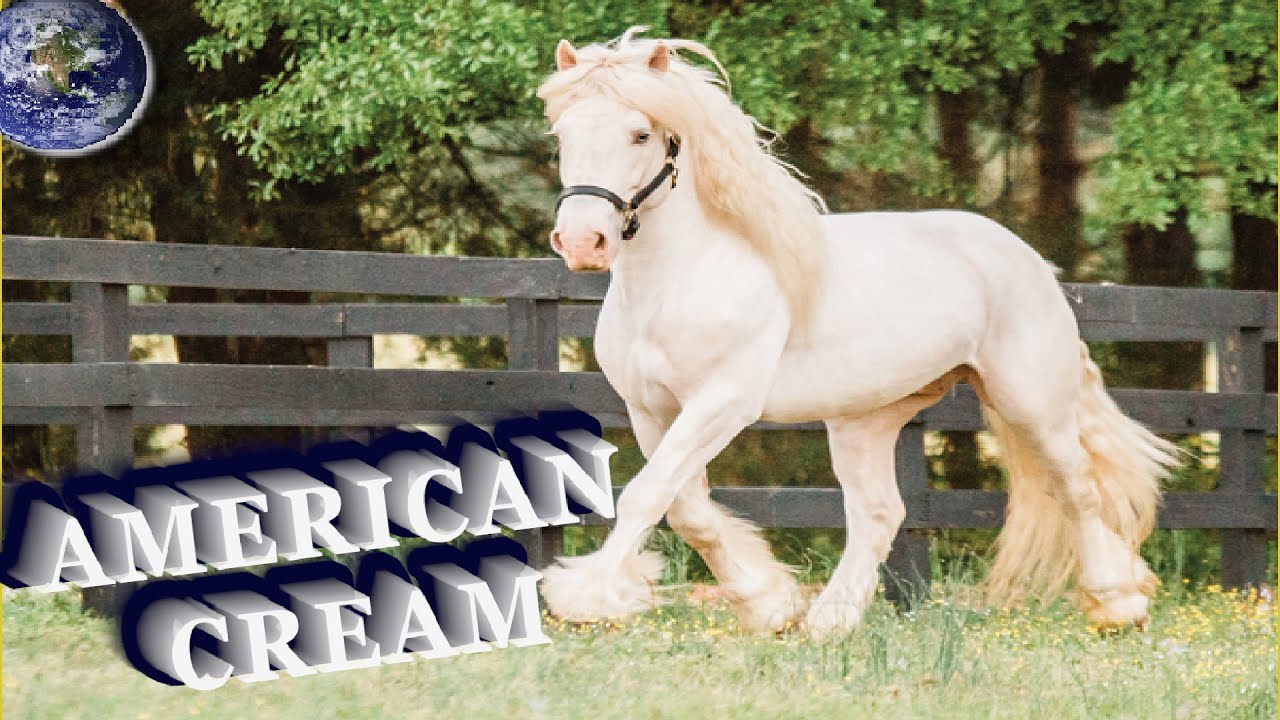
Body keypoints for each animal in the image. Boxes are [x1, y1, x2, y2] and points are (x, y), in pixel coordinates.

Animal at [535, 27, 1179, 635]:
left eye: (640, 135)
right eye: (562, 136)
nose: (583, 242)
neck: (681, 278)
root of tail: (1032, 261)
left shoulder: (722, 403)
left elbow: (649, 494)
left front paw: (584, 599)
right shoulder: (651, 410)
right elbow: (685, 507)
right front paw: (769, 606)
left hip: (1031, 404)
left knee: (1077, 486)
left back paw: (1117, 603)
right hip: (866, 420)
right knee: (880, 512)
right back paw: (830, 622)